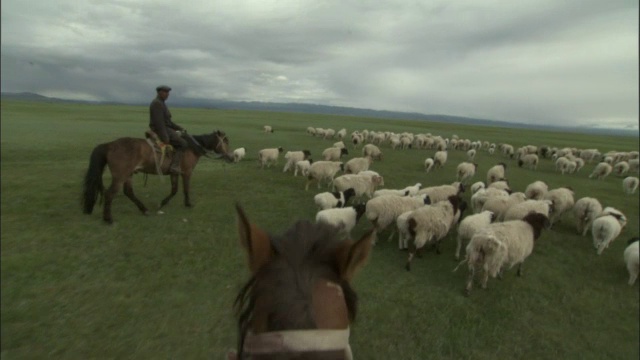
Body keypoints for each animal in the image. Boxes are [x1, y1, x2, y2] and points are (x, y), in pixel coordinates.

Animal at [81, 131, 232, 224]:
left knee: (128, 192)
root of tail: (110, 145)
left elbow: (174, 190)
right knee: (109, 194)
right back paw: (109, 219)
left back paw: (144, 210)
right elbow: (185, 189)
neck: (192, 148)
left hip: (128, 175)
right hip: (120, 176)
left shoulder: (174, 173)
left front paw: (162, 203)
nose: (231, 157)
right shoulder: (187, 173)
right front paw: (188, 204)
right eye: (225, 142)